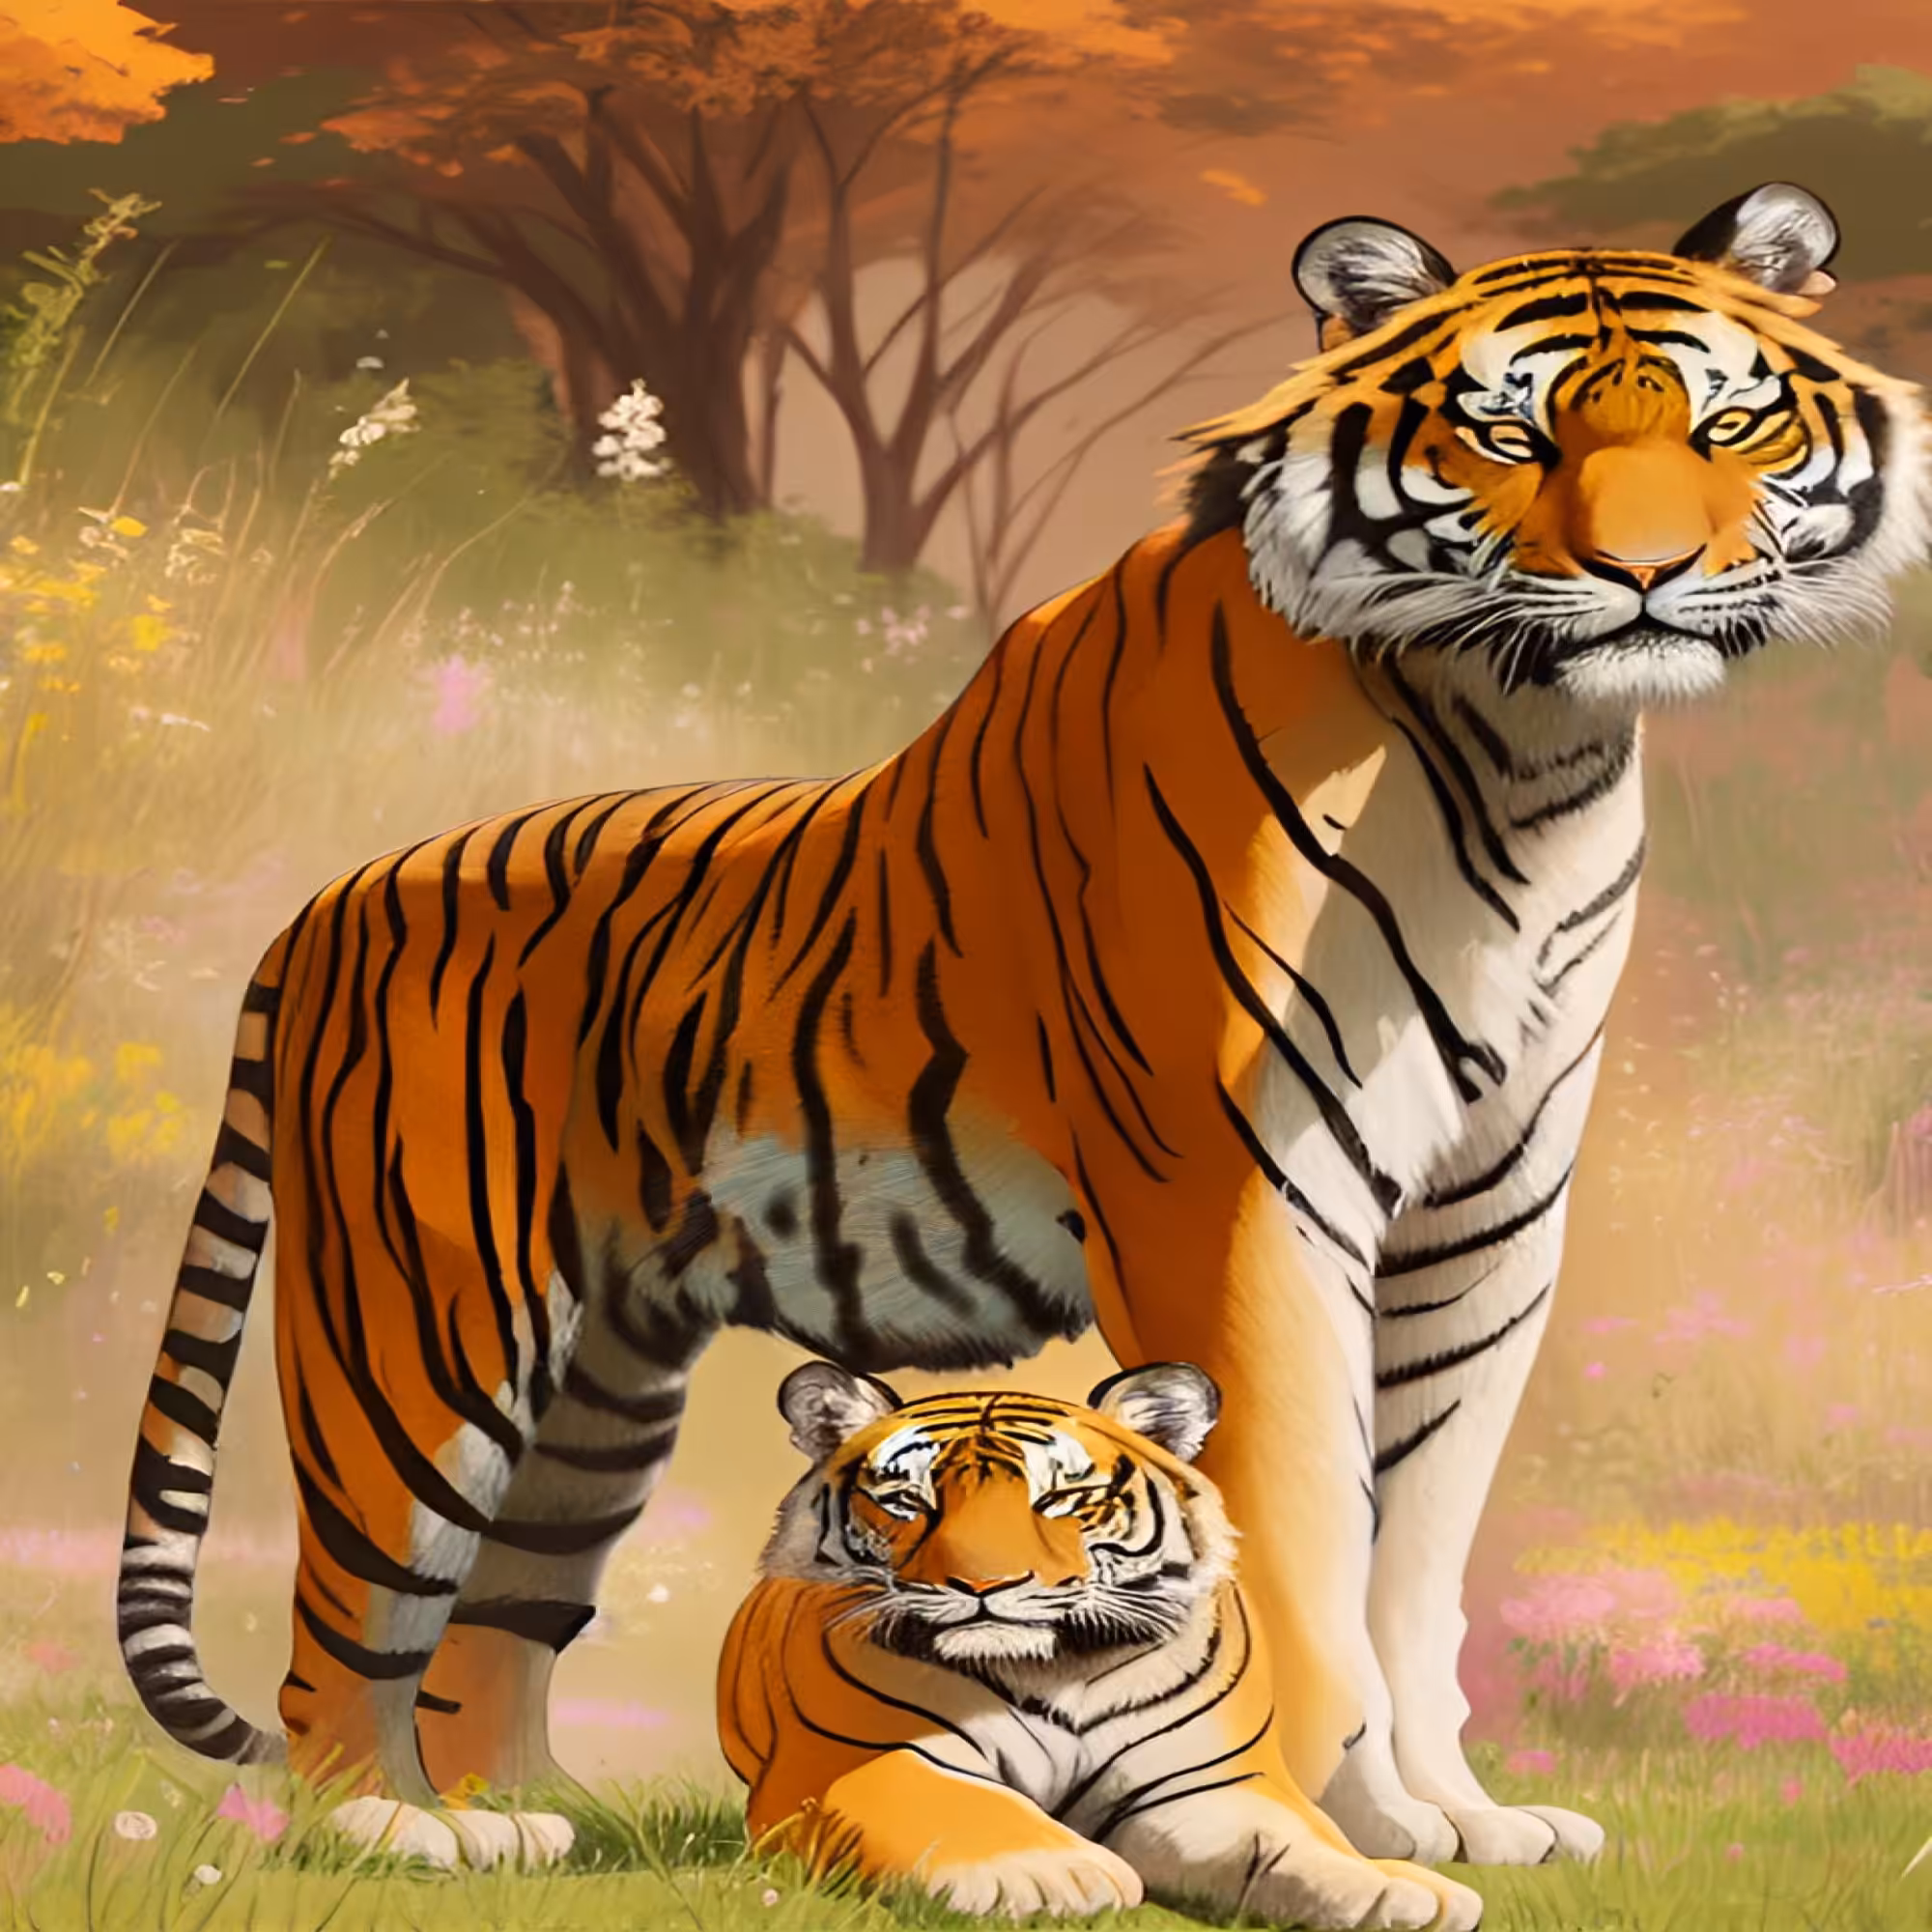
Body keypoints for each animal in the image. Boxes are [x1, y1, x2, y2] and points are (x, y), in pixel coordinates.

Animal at [720, 1360, 1484, 1930]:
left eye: (1060, 1498)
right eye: (909, 1501)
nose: (983, 1583)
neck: (1055, 1668)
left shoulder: (1206, 1785)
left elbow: (1296, 1842)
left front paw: (1400, 1890)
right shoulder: (861, 1760)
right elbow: (965, 1807)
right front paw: (1048, 1871)